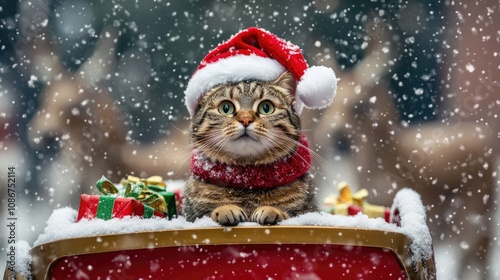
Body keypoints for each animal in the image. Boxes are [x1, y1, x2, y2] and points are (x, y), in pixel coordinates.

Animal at [183, 71, 316, 226]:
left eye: (266, 108)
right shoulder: (192, 214)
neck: (247, 180)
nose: (245, 119)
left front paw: (272, 210)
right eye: (226, 108)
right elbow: (207, 213)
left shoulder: (306, 210)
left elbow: (291, 214)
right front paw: (226, 209)